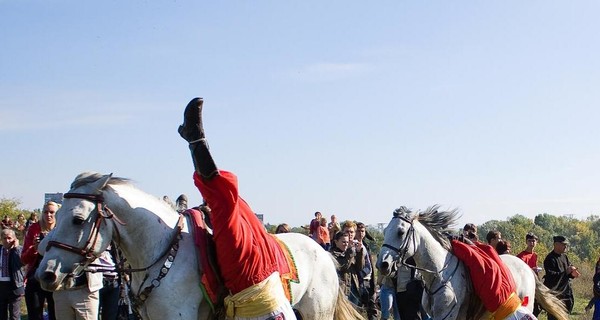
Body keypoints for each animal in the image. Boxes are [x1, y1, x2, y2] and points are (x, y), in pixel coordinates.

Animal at [38, 172, 366, 320]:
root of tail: (324, 253)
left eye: (78, 219)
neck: (164, 253)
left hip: (316, 311)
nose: (46, 274)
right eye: (57, 216)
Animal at [378, 206, 568, 320]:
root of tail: (527, 267)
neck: (438, 274)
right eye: (385, 231)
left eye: (400, 232)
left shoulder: (447, 315)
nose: (383, 264)